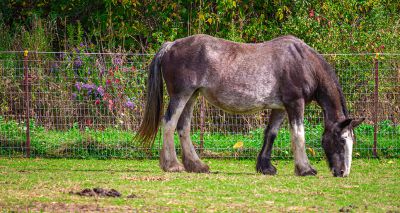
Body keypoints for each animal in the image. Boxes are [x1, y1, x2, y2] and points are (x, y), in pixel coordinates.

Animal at [136, 34, 364, 177]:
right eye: (342, 140)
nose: (343, 173)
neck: (302, 62)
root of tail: (171, 45)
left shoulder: (280, 108)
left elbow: (271, 134)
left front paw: (266, 167)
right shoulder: (295, 104)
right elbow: (298, 134)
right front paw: (305, 169)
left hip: (192, 96)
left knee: (183, 127)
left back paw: (196, 165)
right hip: (181, 95)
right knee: (169, 123)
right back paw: (172, 165)